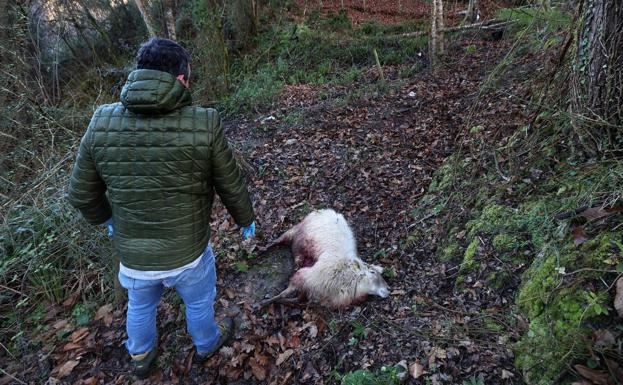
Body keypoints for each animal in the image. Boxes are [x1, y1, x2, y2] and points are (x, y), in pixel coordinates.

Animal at [260, 208, 390, 308]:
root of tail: (325, 210)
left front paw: (282, 302)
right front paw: (263, 303)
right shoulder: (305, 276)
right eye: (372, 272)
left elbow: (297, 299)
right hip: (296, 230)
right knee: (278, 240)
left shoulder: (310, 289)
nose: (388, 289)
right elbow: (282, 294)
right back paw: (262, 249)